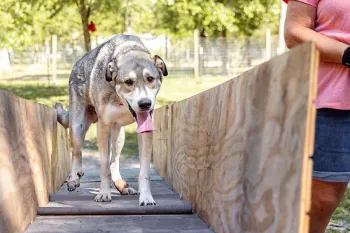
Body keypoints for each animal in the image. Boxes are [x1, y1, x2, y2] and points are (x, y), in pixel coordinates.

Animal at [55, 34, 167, 206]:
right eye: (128, 82)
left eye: (150, 78)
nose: (145, 104)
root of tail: (77, 64)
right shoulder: (103, 128)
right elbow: (103, 167)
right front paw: (103, 193)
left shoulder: (145, 132)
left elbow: (144, 171)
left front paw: (146, 197)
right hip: (77, 127)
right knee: (76, 151)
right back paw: (74, 177)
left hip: (119, 136)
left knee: (114, 161)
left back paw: (121, 186)